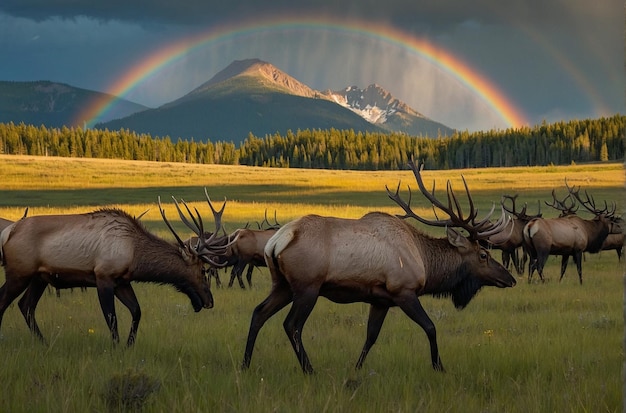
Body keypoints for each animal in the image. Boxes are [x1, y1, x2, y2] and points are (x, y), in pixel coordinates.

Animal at [0, 193, 233, 344]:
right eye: (202, 271)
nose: (210, 301)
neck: (134, 255)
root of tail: (8, 233)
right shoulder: (103, 276)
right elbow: (112, 319)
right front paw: (115, 347)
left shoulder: (122, 281)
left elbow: (137, 311)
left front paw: (129, 345)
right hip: (19, 273)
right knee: (6, 302)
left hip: (39, 277)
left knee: (26, 306)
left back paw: (43, 342)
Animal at [239, 161, 512, 374]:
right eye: (484, 255)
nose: (510, 279)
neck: (425, 263)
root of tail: (277, 240)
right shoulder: (404, 291)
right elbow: (431, 327)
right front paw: (439, 367)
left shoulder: (380, 300)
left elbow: (370, 337)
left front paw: (356, 368)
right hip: (308, 287)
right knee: (292, 324)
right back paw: (309, 369)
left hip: (282, 285)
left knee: (258, 313)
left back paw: (245, 364)